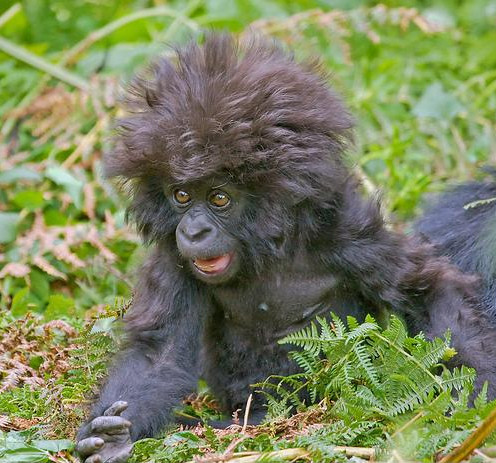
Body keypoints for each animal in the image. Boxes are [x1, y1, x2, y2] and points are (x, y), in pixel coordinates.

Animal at [75, 34, 496, 462]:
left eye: (219, 198)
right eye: (181, 195)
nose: (192, 232)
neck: (267, 246)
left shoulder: (347, 236)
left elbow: (429, 290)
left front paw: (477, 397)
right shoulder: (172, 258)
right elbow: (159, 352)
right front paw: (116, 437)